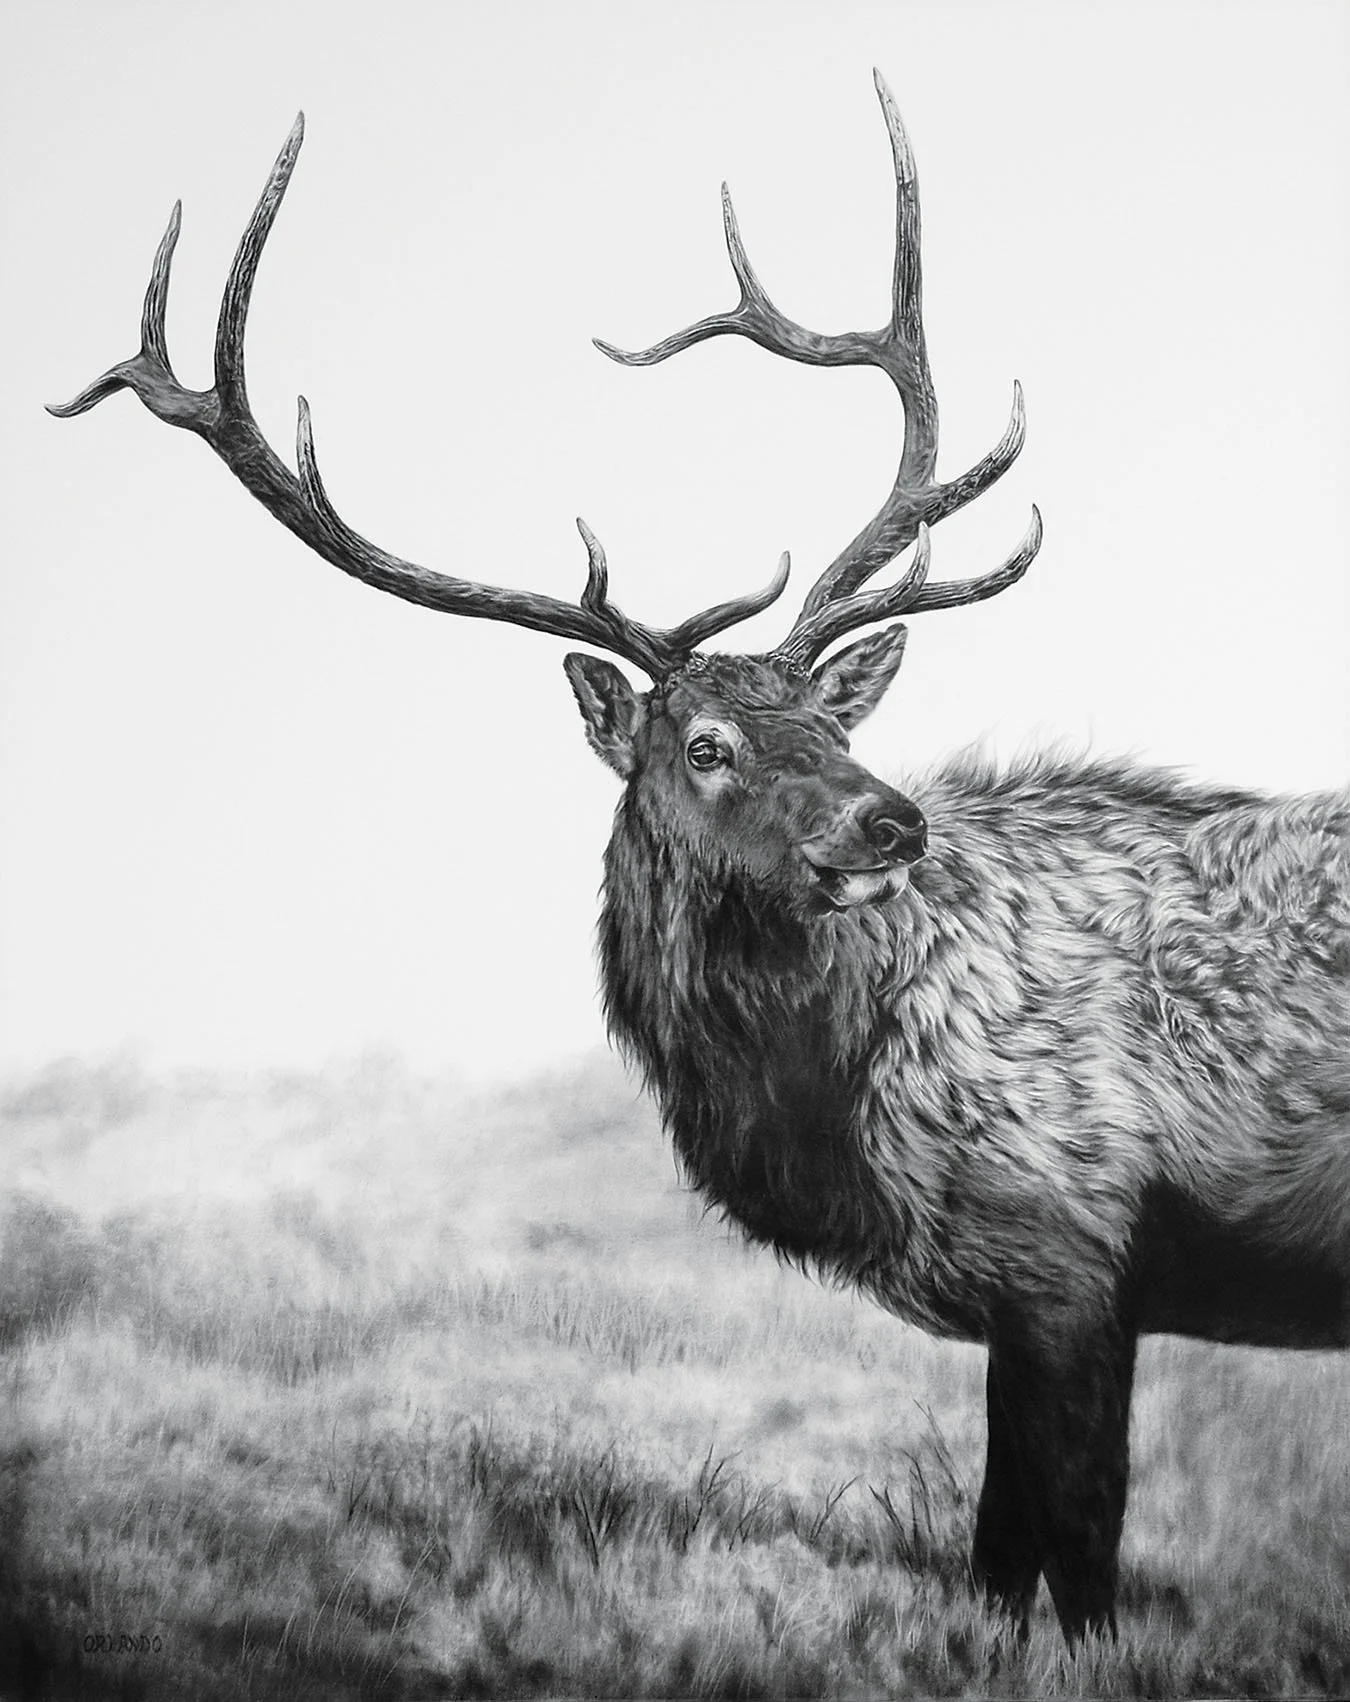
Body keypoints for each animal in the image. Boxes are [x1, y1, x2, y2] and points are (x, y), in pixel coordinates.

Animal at [50, 73, 1349, 1646]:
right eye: (708, 743)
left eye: (838, 719)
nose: (888, 822)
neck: (836, 1101)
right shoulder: (1040, 1288)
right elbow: (1001, 1550)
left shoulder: (1072, 1246)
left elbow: (1074, 1554)